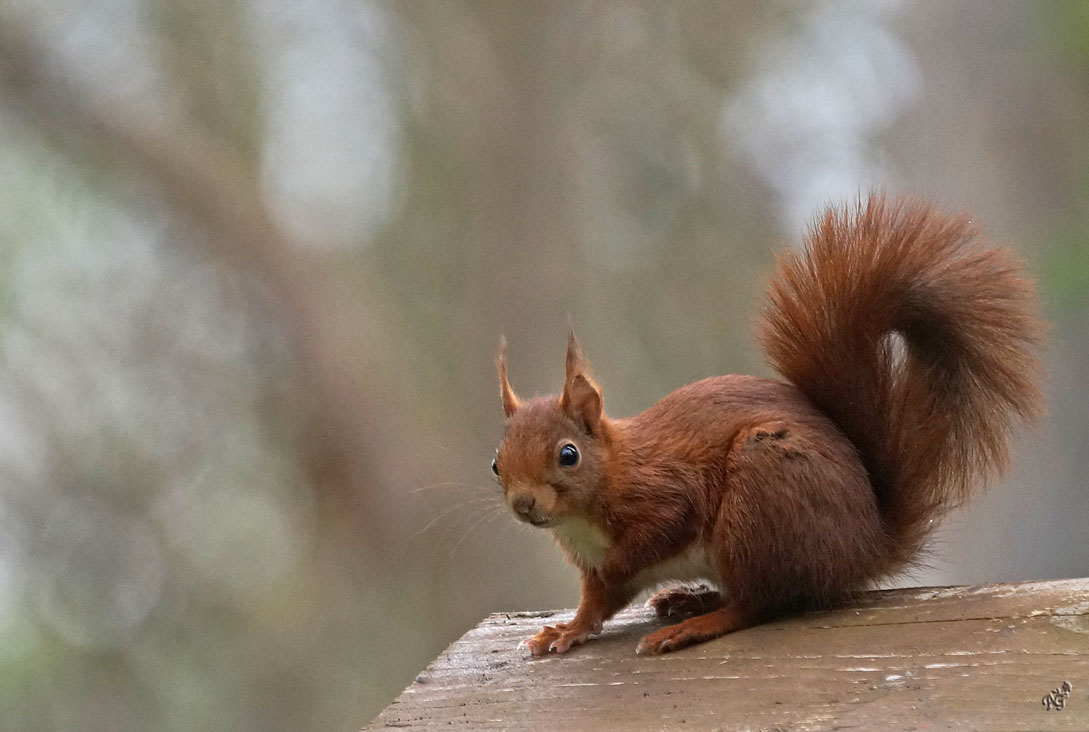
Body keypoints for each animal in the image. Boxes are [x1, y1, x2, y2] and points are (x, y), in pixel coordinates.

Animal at [490, 196, 1041, 657]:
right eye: (496, 464)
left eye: (568, 454)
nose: (524, 505)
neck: (592, 501)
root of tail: (868, 546)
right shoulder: (592, 571)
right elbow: (595, 603)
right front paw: (565, 631)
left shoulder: (664, 491)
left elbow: (661, 530)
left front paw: (621, 565)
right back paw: (689, 601)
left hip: (759, 499)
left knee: (758, 602)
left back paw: (694, 624)